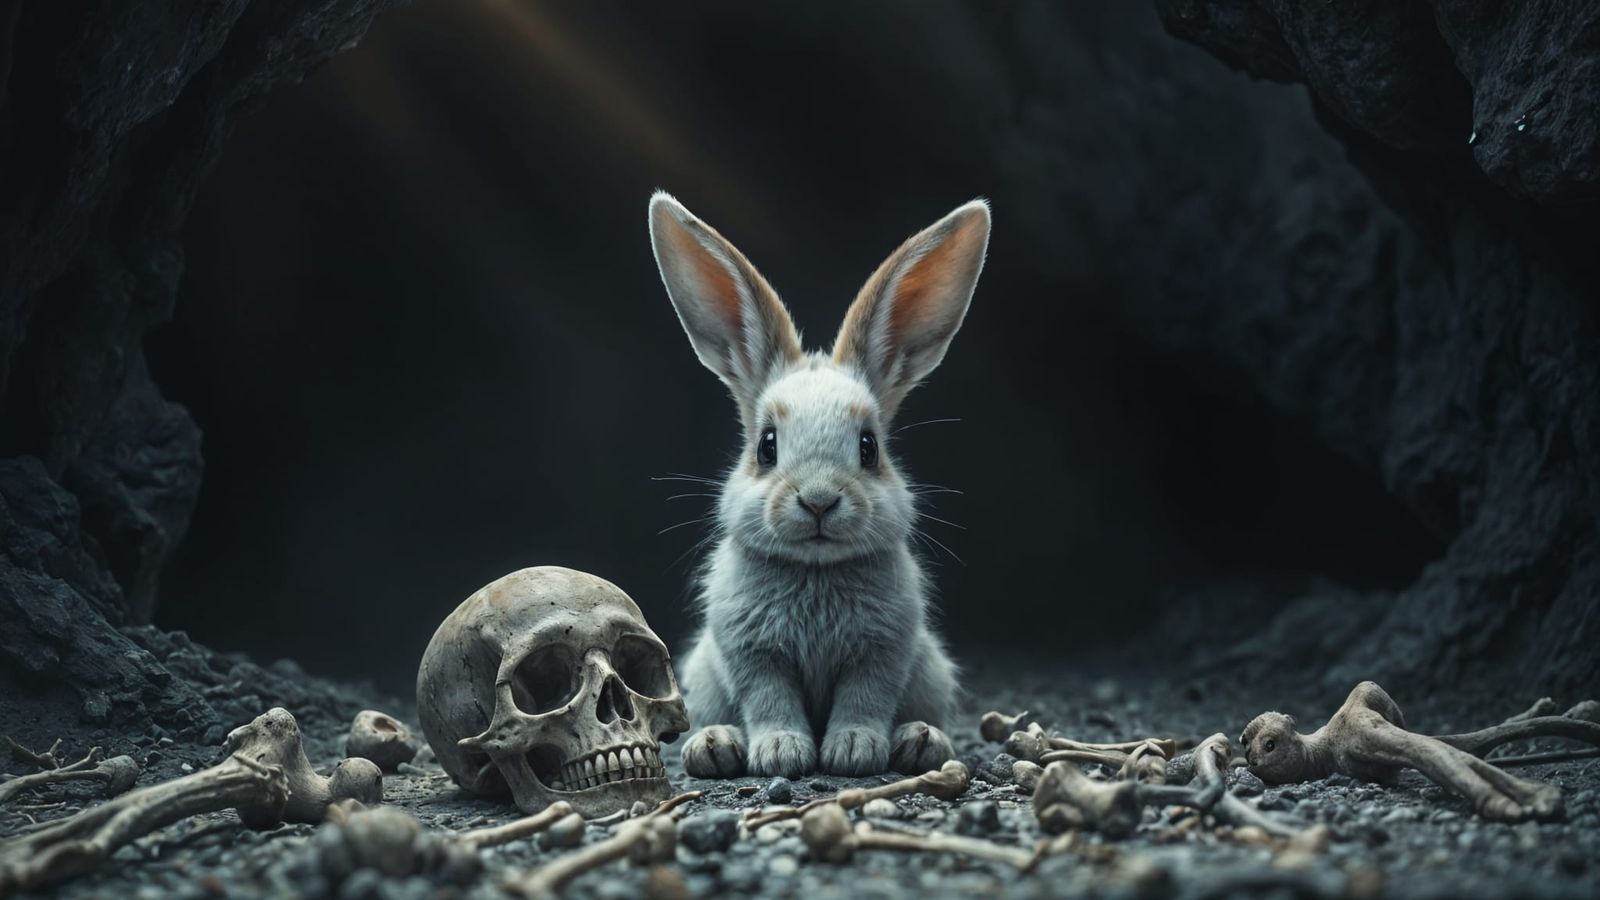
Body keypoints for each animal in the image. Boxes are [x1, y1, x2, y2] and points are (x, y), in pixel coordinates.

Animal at [647, 191, 989, 778]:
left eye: (869, 447)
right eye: (766, 446)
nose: (819, 501)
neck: (815, 569)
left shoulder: (882, 652)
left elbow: (865, 697)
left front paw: (852, 751)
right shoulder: (753, 654)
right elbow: (770, 699)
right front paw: (782, 753)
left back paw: (922, 742)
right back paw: (713, 746)